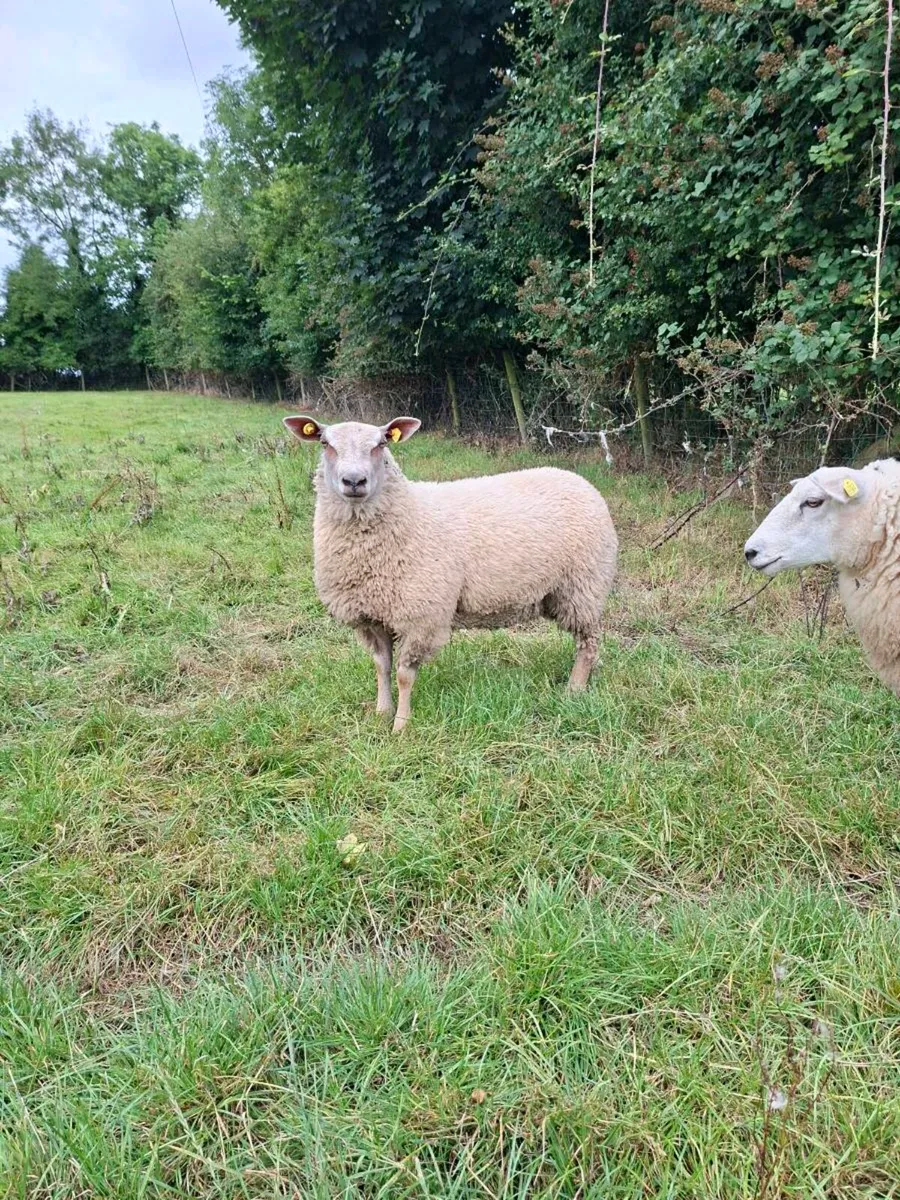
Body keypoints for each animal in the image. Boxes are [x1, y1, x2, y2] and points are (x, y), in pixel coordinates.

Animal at [284, 414, 618, 731]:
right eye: (325, 443)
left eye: (381, 443)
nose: (354, 480)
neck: (407, 514)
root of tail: (580, 481)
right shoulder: (370, 616)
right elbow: (381, 667)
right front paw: (381, 713)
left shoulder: (421, 617)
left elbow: (404, 675)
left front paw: (401, 725)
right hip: (559, 592)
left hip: (583, 587)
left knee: (589, 643)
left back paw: (574, 690)